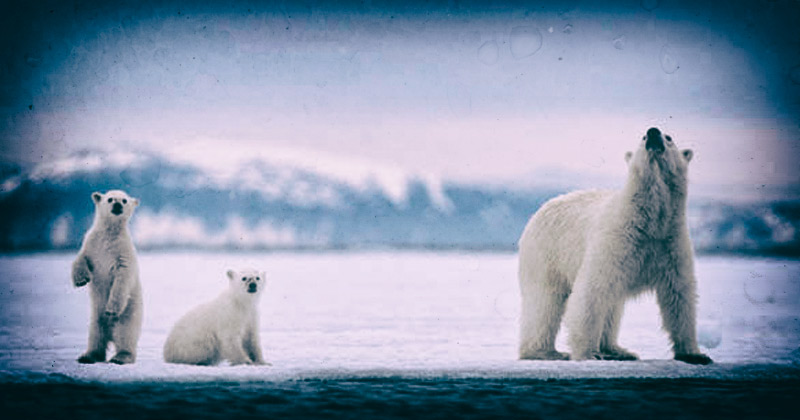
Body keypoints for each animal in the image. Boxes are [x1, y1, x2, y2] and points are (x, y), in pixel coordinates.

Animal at [71, 190, 143, 364]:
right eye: (110, 199)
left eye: (124, 200)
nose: (117, 205)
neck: (109, 234)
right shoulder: (92, 244)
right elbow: (81, 258)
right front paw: (81, 280)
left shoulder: (122, 253)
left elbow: (122, 280)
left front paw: (110, 309)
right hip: (95, 318)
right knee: (96, 336)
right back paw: (87, 356)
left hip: (130, 313)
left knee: (124, 334)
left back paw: (120, 357)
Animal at [517, 127, 712, 365]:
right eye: (642, 137)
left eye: (669, 137)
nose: (653, 132)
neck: (648, 222)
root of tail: (542, 207)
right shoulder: (615, 242)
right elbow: (591, 292)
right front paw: (588, 354)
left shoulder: (670, 244)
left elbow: (679, 294)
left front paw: (695, 354)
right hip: (546, 253)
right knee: (545, 302)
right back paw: (546, 352)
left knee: (613, 305)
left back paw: (617, 350)